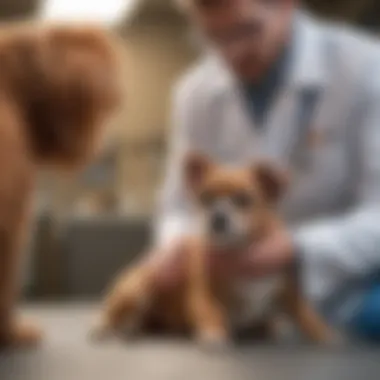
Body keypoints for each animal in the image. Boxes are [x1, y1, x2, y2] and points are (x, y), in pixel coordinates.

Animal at [93, 153, 336, 346]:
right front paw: (214, 334)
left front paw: (325, 335)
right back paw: (110, 331)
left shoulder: (288, 294)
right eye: (205, 198)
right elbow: (212, 312)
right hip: (137, 289)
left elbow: (307, 315)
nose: (218, 216)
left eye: (243, 199)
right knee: (112, 317)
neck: (239, 251)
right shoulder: (204, 296)